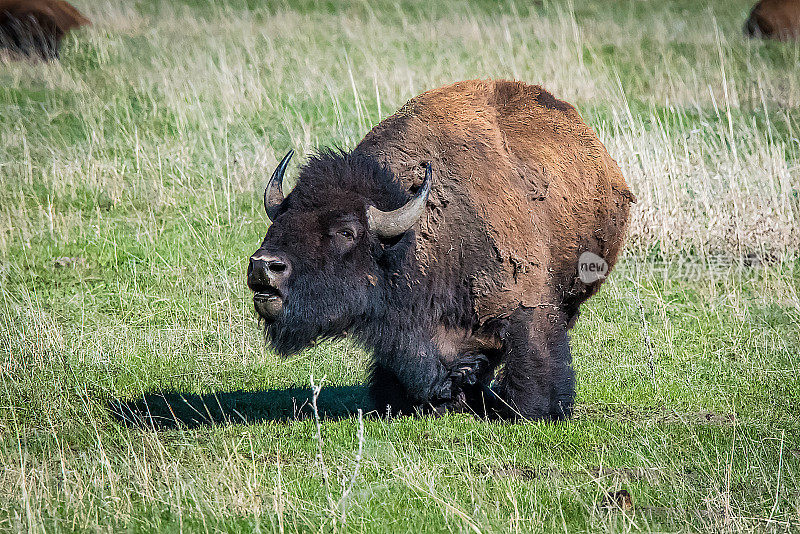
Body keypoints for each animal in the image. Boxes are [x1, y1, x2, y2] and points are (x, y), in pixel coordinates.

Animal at [247, 79, 636, 422]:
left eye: (347, 231)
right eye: (281, 217)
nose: (263, 266)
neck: (409, 240)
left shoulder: (526, 307)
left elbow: (534, 357)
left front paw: (535, 411)